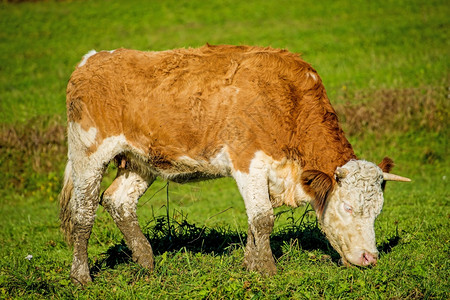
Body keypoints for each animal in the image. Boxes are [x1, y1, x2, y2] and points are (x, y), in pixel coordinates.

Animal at [60, 43, 412, 284]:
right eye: (348, 207)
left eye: (378, 211)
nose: (370, 258)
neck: (286, 99)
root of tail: (92, 60)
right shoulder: (248, 161)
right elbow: (263, 219)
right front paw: (268, 271)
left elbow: (254, 220)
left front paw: (250, 264)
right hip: (88, 153)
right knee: (83, 213)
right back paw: (81, 276)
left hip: (140, 161)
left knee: (118, 201)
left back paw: (146, 262)